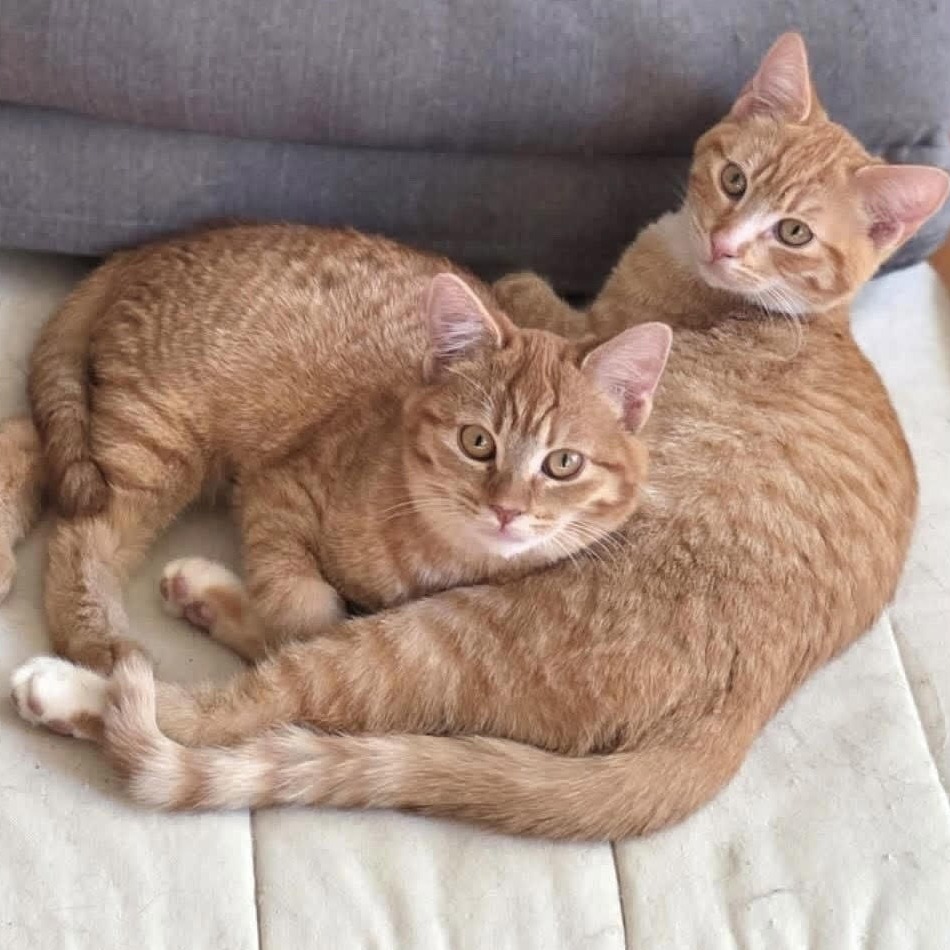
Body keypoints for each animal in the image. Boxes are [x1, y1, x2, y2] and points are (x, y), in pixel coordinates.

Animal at [0, 227, 671, 668]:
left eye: (563, 464)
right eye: (477, 441)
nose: (506, 509)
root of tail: (147, 248)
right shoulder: (277, 486)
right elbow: (305, 607)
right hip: (157, 442)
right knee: (83, 535)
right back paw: (94, 639)